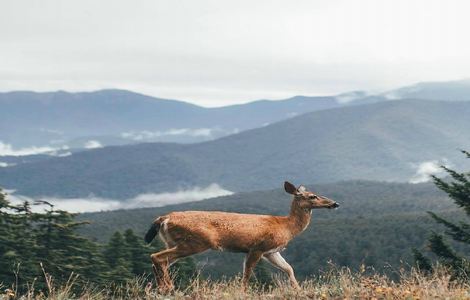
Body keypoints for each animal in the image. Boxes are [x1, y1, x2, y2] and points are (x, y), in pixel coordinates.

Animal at [143, 182, 338, 292]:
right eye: (313, 196)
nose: (335, 203)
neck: (286, 226)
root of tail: (163, 219)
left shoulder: (271, 251)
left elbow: (289, 268)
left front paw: (298, 290)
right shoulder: (258, 247)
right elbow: (247, 273)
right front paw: (244, 292)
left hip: (173, 242)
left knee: (160, 261)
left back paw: (162, 289)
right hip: (195, 242)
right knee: (156, 257)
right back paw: (168, 288)